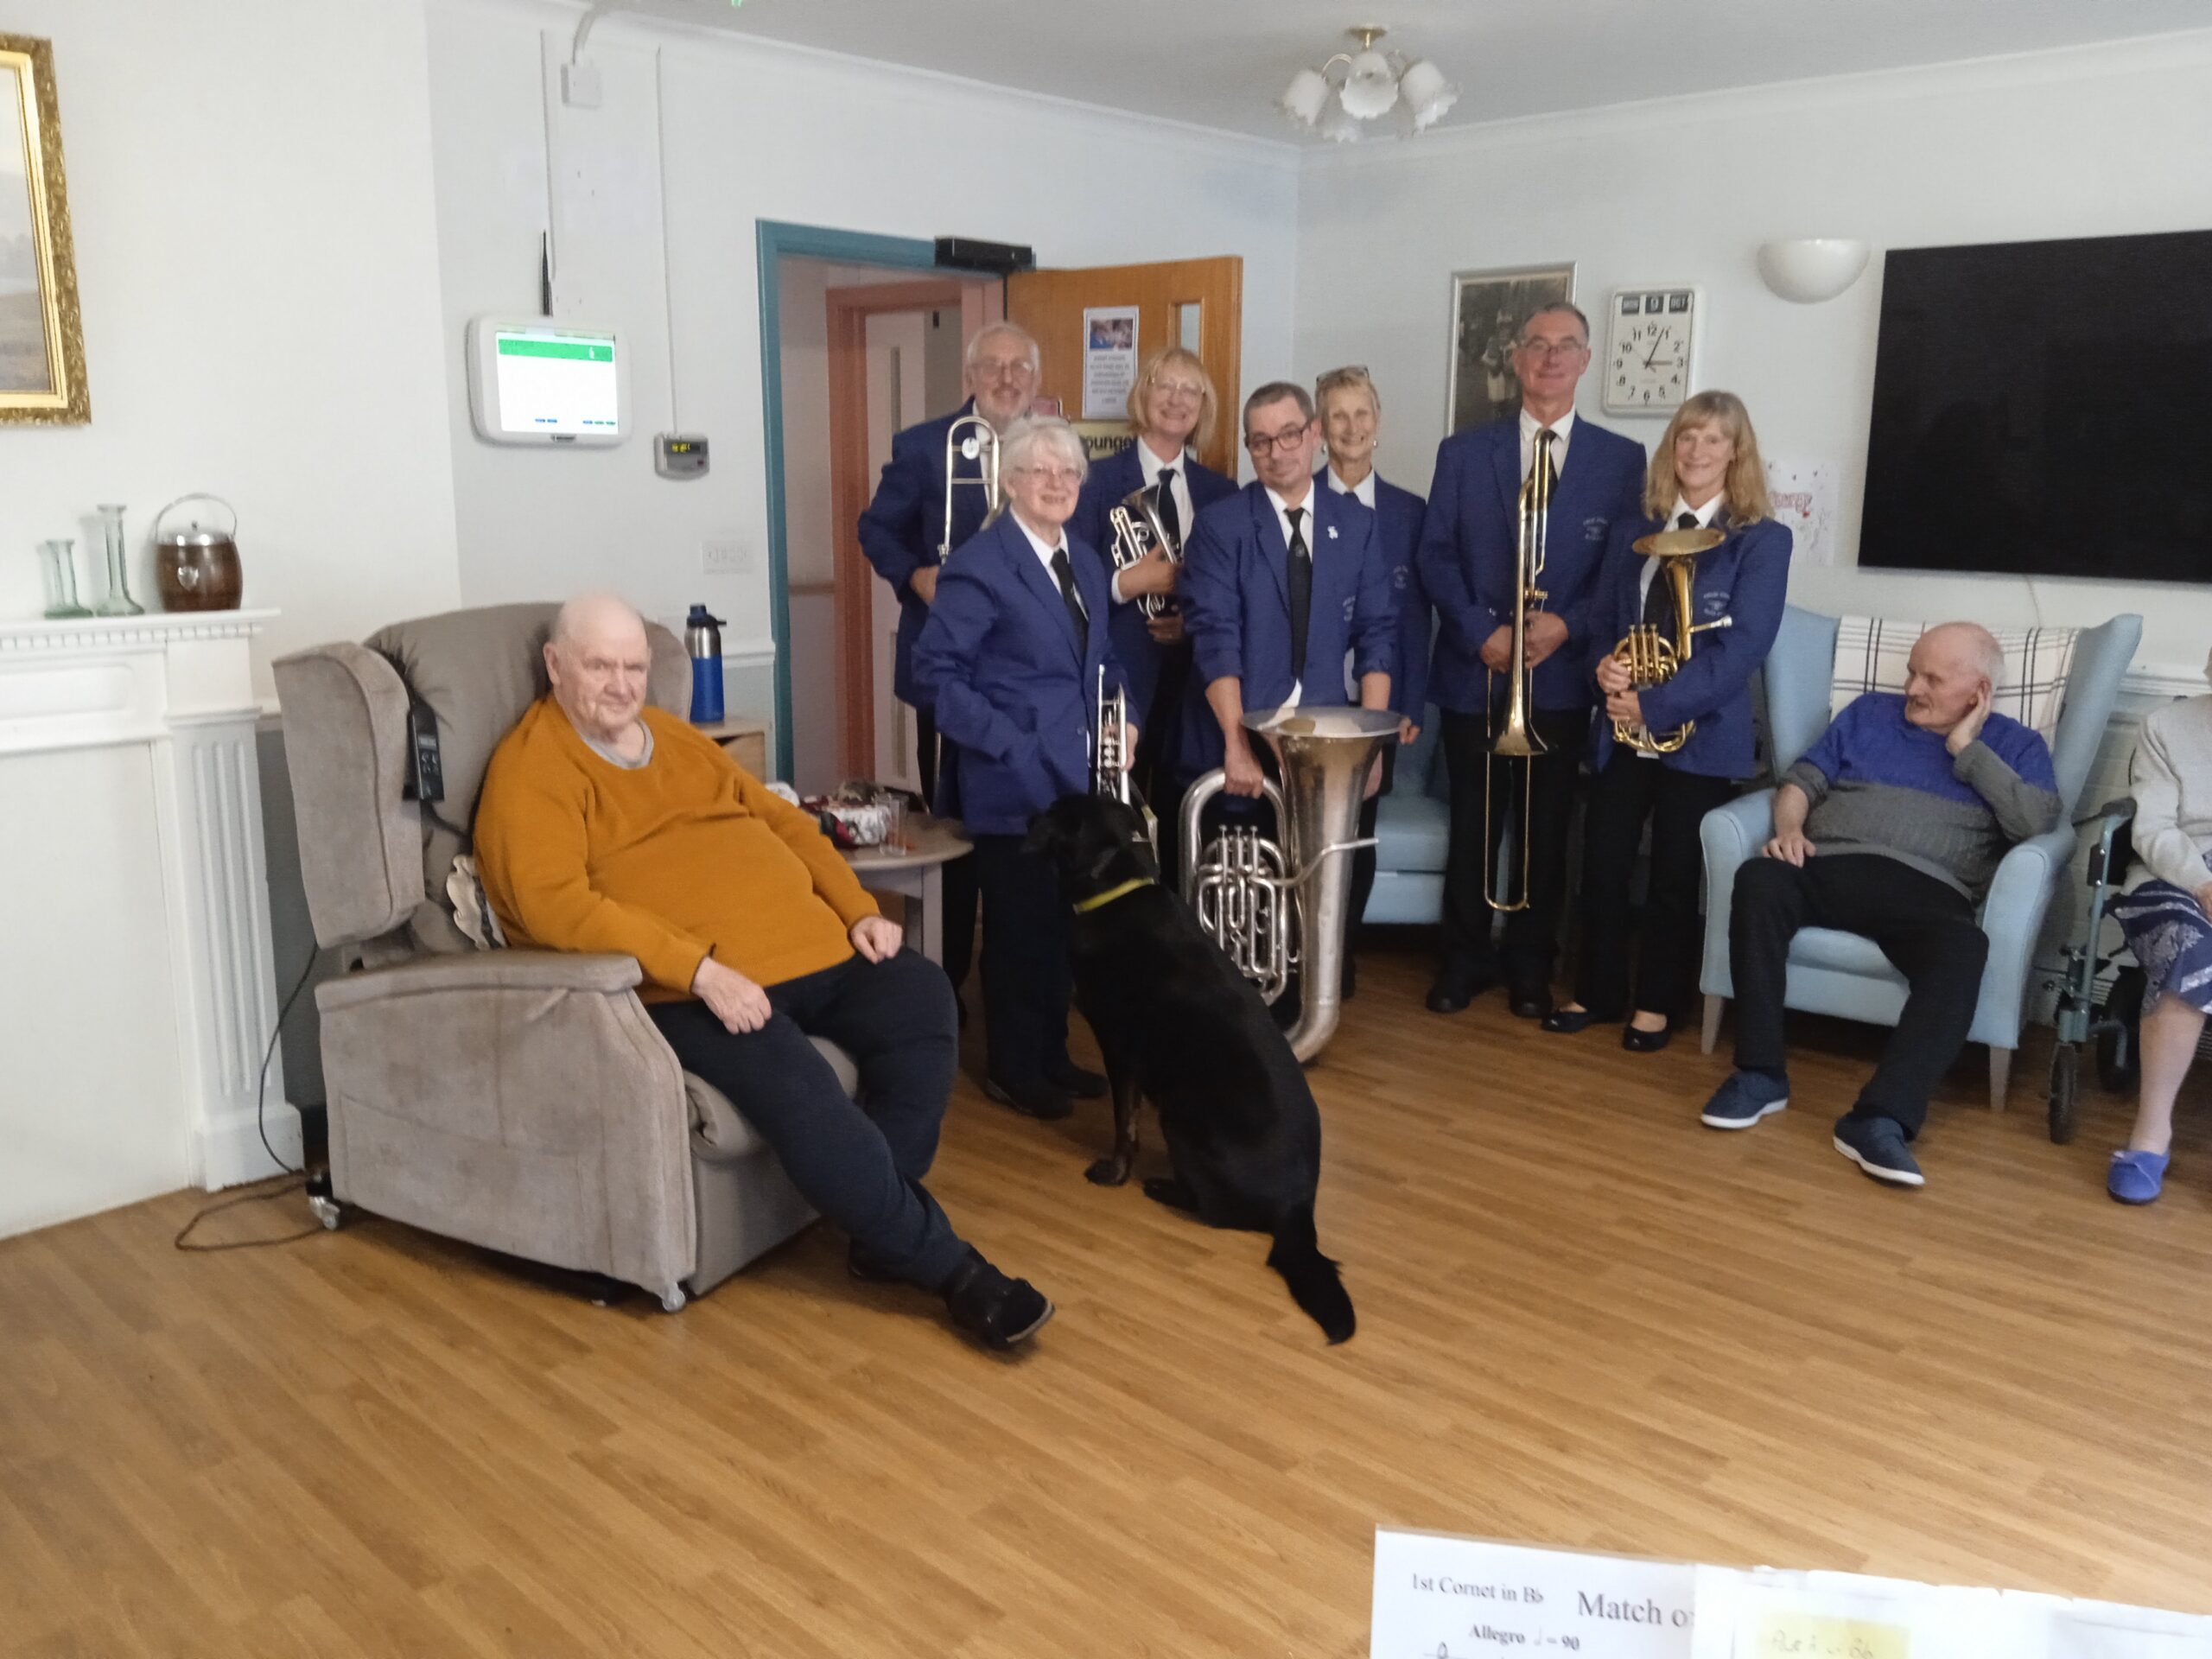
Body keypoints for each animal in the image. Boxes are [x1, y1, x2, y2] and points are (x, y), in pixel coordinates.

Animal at [1026, 787, 1353, 1344]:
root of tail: (1298, 1207)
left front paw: (1114, 1172)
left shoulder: (1120, 1049)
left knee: (1216, 1212)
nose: (1026, 816)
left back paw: (1162, 1188)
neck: (1117, 890)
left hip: (1180, 1118)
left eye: (1057, 812)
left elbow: (1125, 1123)